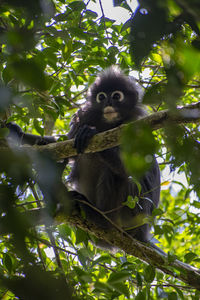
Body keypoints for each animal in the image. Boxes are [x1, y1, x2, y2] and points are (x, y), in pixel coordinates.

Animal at [4, 67, 160, 247]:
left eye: (116, 96)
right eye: (101, 97)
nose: (108, 103)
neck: (108, 124)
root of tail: (142, 233)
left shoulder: (136, 126)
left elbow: (133, 167)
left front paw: (90, 133)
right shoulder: (85, 117)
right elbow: (62, 144)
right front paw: (16, 132)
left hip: (132, 213)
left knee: (120, 175)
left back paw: (101, 219)